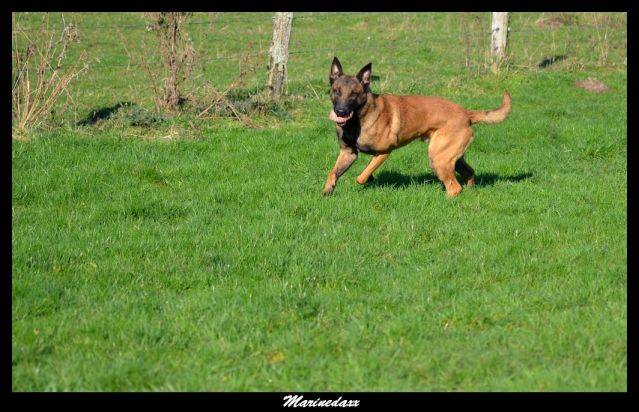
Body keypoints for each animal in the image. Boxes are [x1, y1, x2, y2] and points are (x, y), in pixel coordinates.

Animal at [322, 57, 512, 197]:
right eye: (336, 91)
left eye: (354, 94)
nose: (340, 111)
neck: (359, 119)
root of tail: (466, 113)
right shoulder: (348, 153)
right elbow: (333, 172)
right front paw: (327, 191)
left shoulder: (384, 152)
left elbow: (360, 178)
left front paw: (367, 179)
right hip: (452, 157)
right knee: (469, 172)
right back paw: (471, 191)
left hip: (438, 158)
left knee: (454, 188)